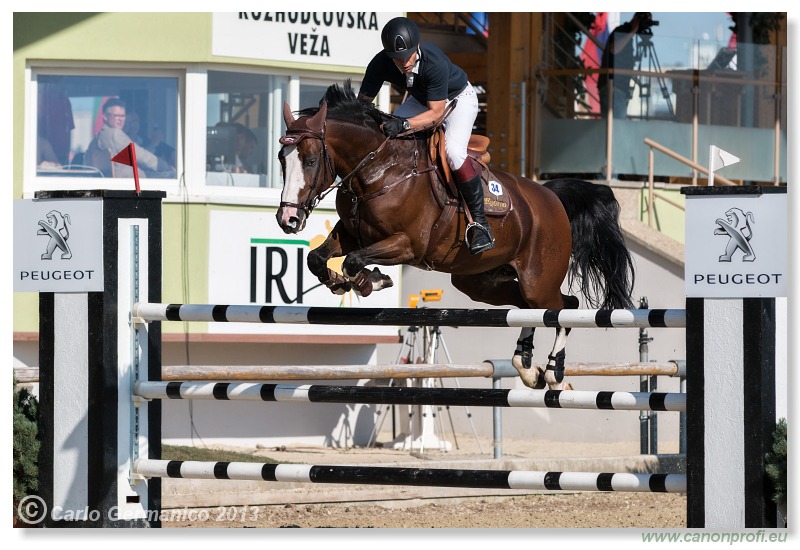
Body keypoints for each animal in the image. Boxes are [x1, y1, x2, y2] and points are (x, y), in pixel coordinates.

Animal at [278, 83, 636, 392]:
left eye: (310, 160)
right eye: (283, 160)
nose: (288, 219)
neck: (379, 169)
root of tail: (550, 196)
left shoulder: (407, 244)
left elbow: (354, 261)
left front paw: (371, 281)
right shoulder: (353, 233)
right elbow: (317, 258)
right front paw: (339, 282)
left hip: (539, 280)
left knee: (564, 308)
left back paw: (552, 373)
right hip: (482, 284)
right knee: (530, 309)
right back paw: (526, 365)